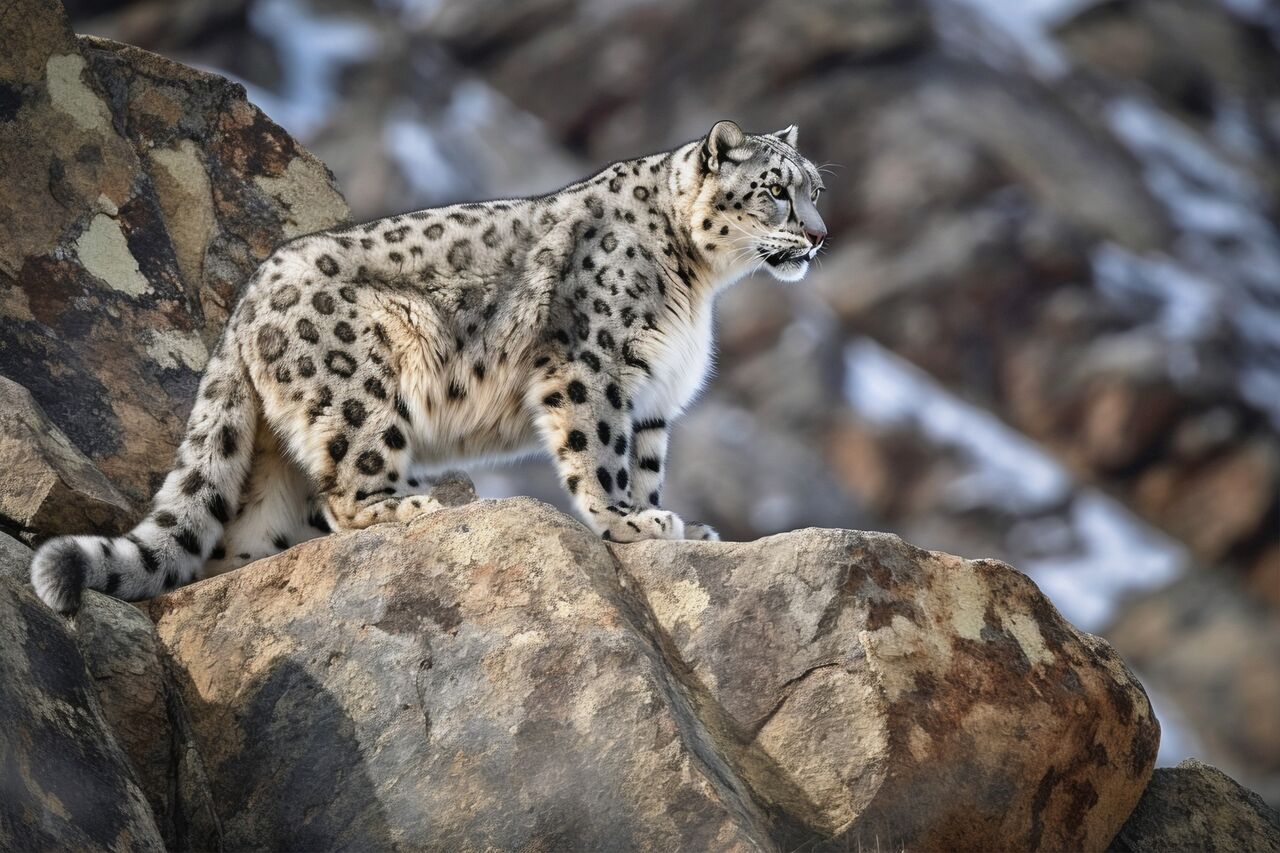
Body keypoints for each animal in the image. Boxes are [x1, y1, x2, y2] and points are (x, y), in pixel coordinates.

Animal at [31, 120, 827, 614]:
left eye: (815, 188)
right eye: (775, 189)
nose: (819, 235)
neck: (698, 286)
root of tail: (244, 301)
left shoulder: (655, 394)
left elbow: (647, 460)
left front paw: (675, 525)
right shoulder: (590, 366)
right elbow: (601, 453)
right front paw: (627, 522)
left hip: (270, 464)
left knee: (235, 536)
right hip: (365, 388)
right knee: (347, 493)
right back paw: (414, 504)